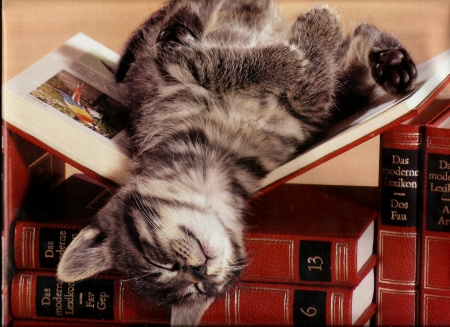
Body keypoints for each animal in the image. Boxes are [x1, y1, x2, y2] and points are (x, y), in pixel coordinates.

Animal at [58, 0, 416, 326]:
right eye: (195, 290)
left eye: (159, 261)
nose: (200, 271)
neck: (215, 163)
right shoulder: (310, 119)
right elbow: (313, 92)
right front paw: (307, 45)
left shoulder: (176, 70)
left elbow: (211, 63)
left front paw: (298, 46)